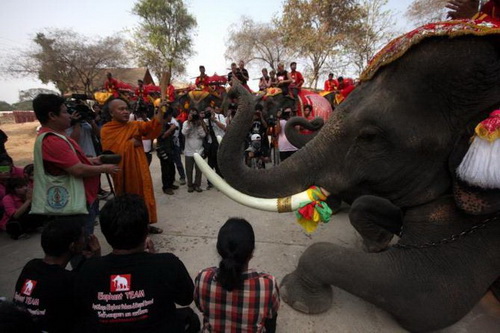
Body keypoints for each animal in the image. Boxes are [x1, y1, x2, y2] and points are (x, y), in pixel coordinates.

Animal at [215, 22, 500, 330]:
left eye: (371, 137)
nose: (234, 86)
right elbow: (365, 206)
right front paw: (376, 243)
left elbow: (428, 296)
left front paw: (297, 297)